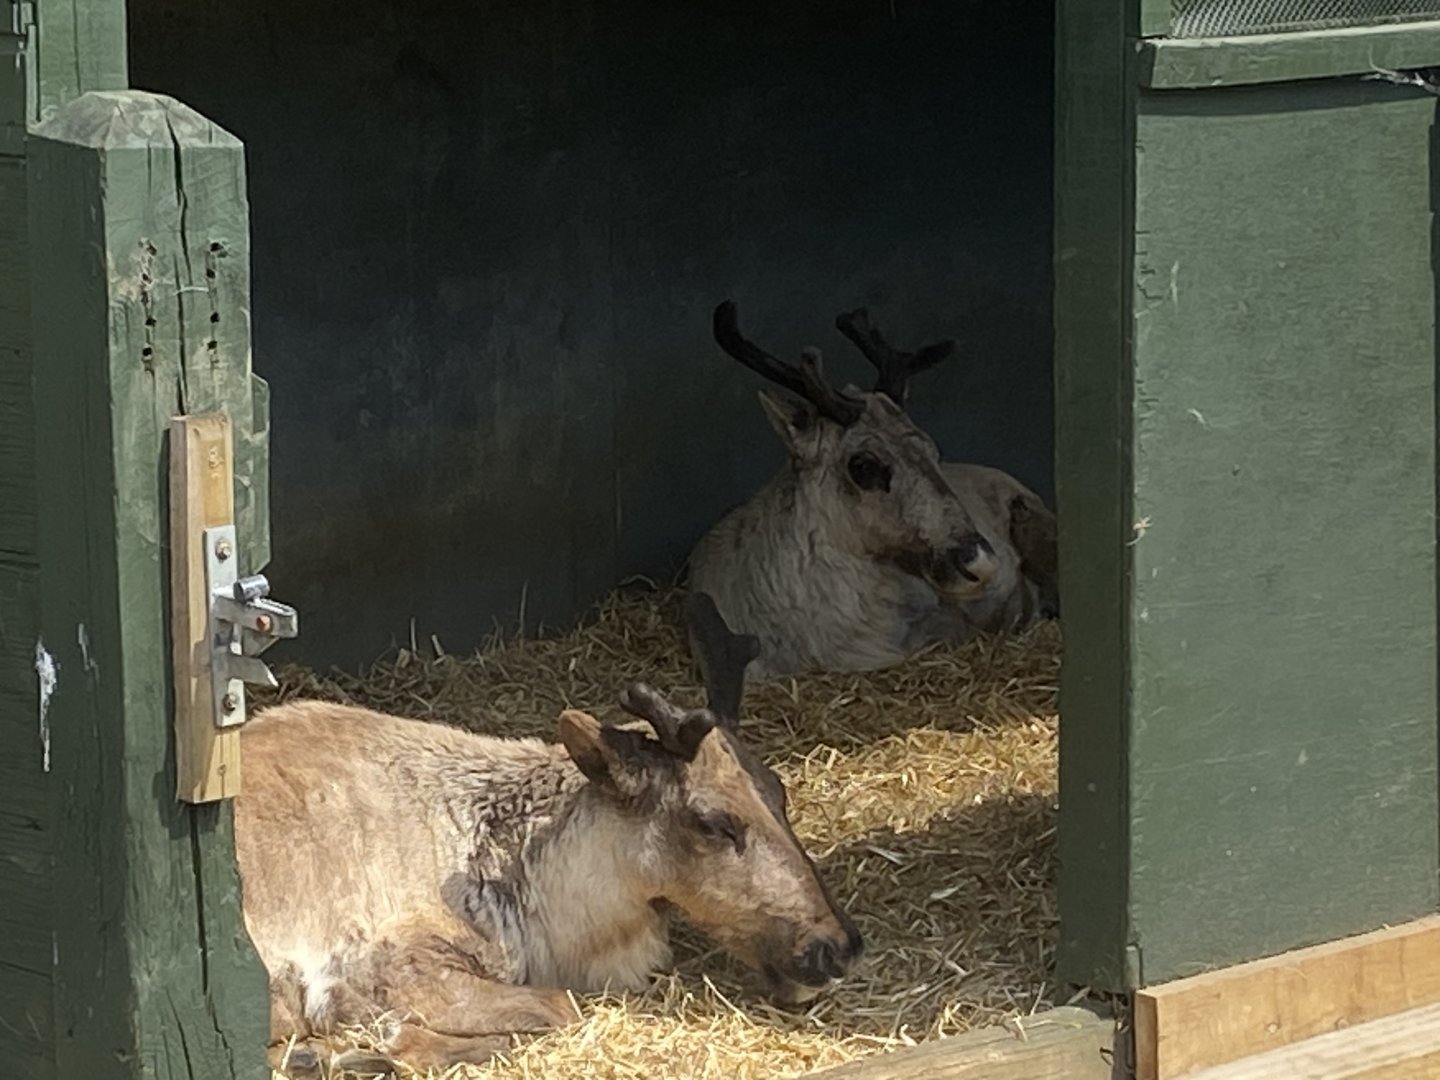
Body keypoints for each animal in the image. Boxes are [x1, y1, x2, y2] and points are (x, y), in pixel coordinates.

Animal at [236, 595, 861, 1078]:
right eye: (713, 822)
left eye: (779, 791)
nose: (837, 947)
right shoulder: (394, 966)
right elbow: (563, 1007)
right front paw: (376, 1045)